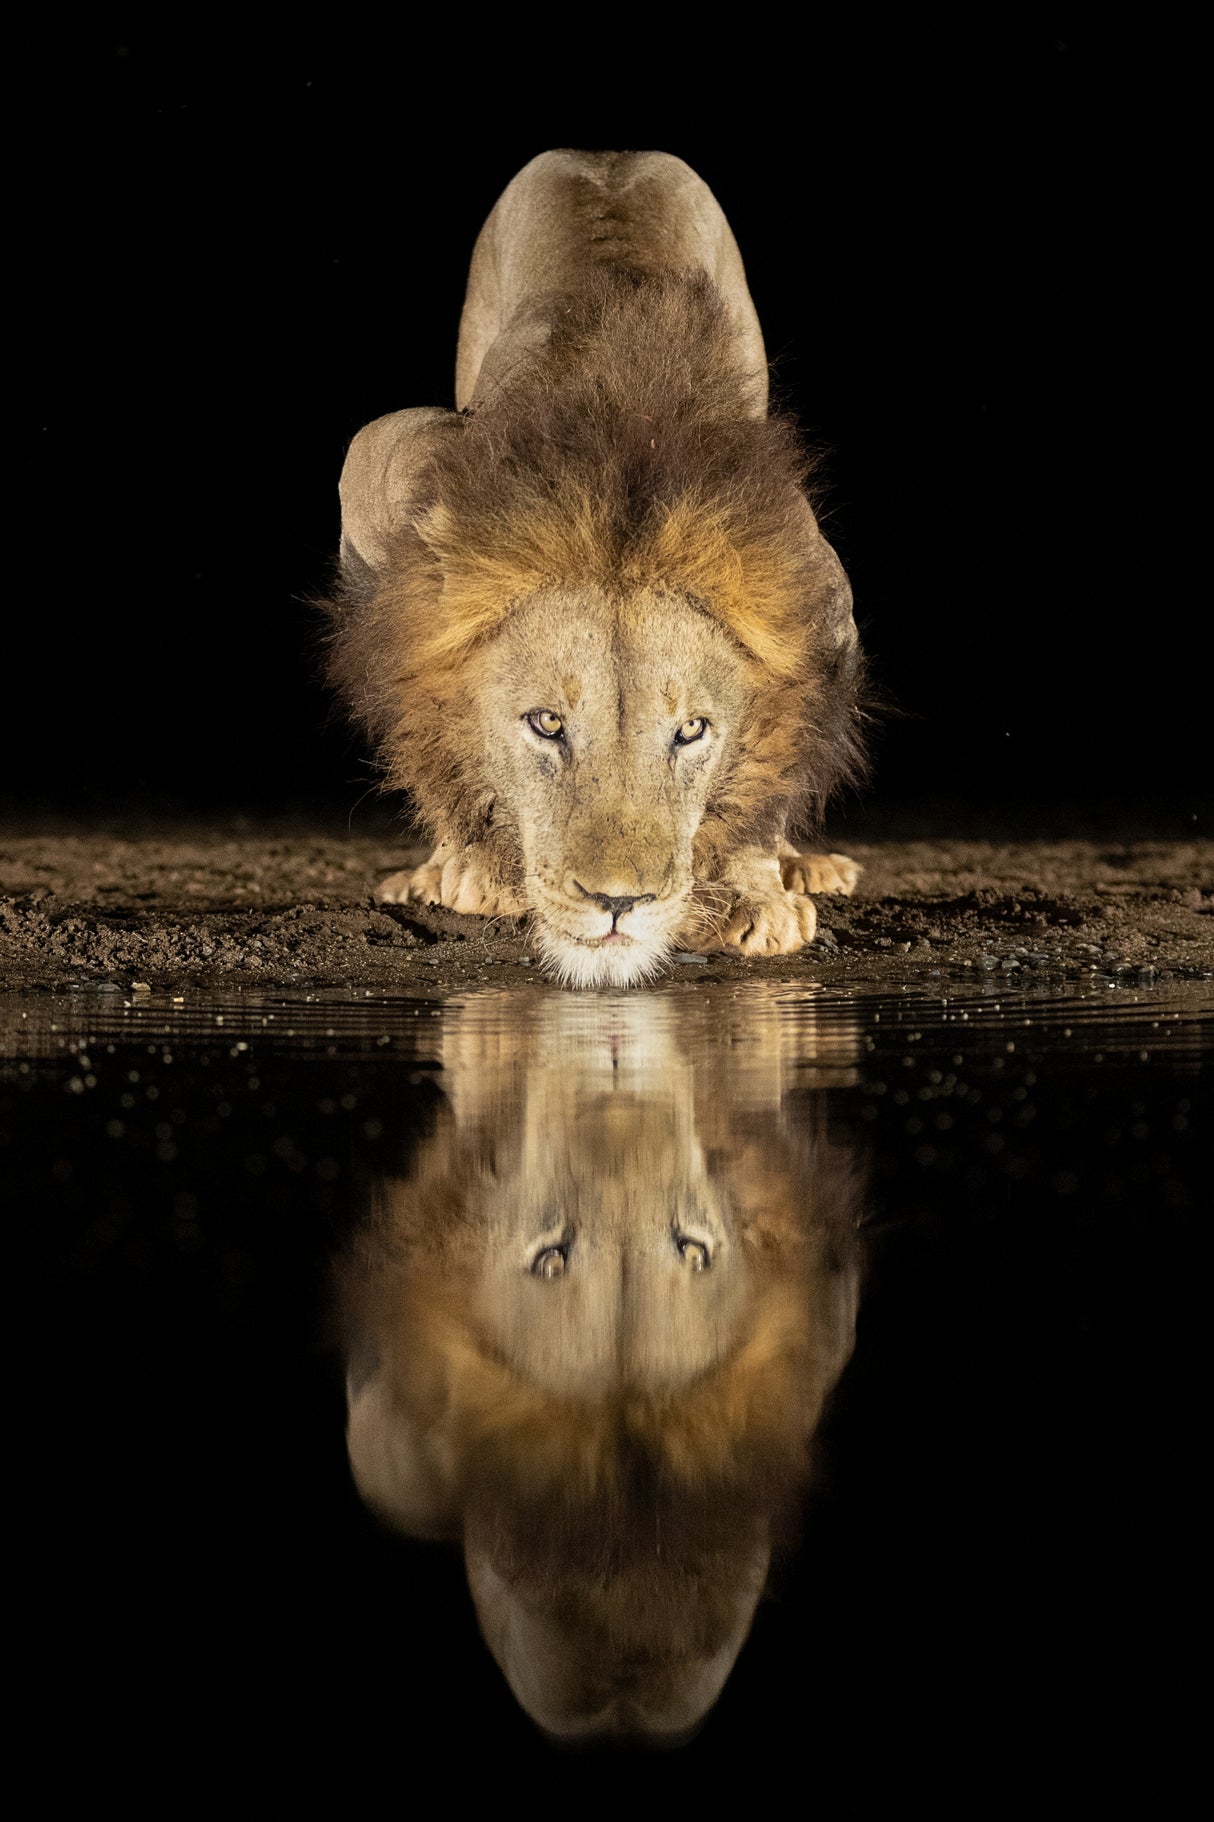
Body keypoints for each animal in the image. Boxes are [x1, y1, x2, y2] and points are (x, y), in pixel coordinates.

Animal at [326, 150, 867, 987]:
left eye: (691, 731)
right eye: (548, 724)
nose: (619, 903)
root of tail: (606, 153)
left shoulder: (814, 589)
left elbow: (778, 757)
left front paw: (754, 889)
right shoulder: (382, 473)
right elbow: (420, 717)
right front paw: (471, 862)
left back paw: (806, 865)